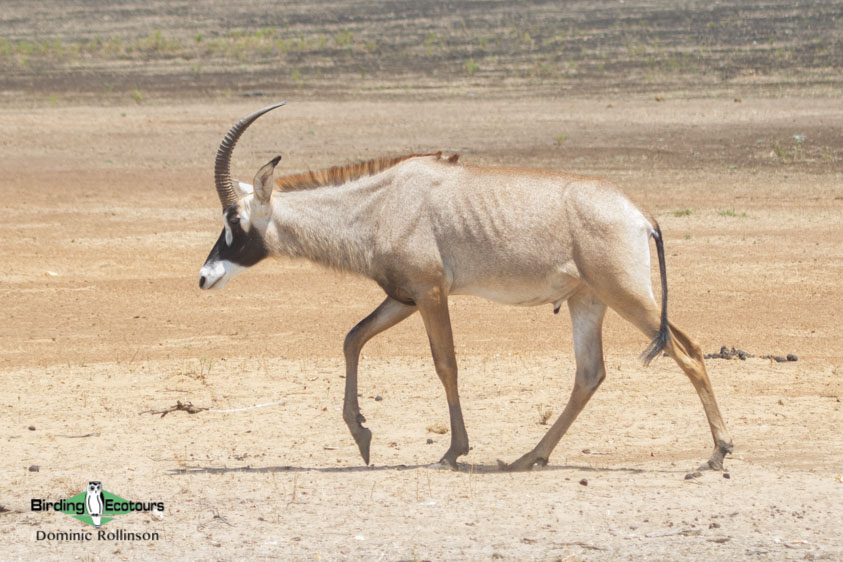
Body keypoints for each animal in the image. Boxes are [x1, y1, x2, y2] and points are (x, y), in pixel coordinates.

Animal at [198, 103, 732, 470]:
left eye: (234, 218)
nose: (204, 277)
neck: (382, 202)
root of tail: (641, 215)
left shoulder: (431, 293)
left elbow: (446, 364)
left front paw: (453, 450)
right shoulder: (404, 297)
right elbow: (352, 338)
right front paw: (363, 437)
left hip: (626, 296)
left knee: (687, 350)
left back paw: (718, 453)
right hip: (589, 301)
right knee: (590, 373)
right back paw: (528, 458)